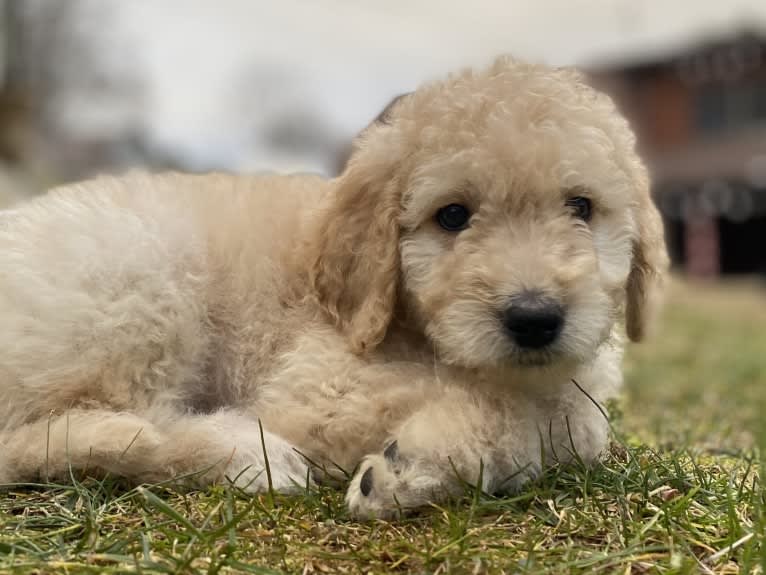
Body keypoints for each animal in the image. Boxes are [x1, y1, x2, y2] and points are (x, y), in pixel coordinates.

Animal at [0, 56, 664, 520]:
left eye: (581, 207)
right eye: (452, 216)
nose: (534, 318)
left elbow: (577, 421)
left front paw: (416, 466)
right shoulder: (319, 386)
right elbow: (531, 411)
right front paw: (413, 464)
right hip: (143, 281)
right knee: (58, 435)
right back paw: (245, 454)